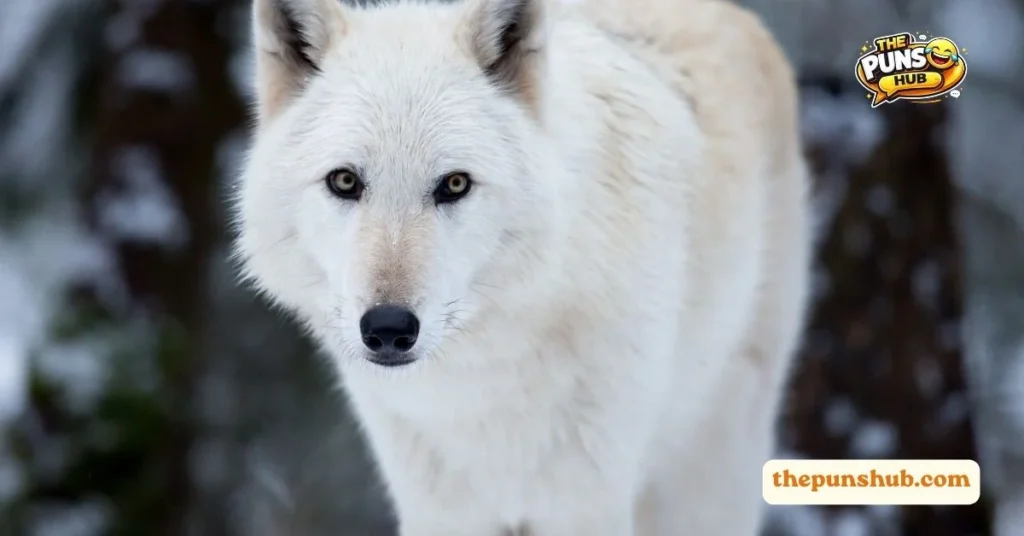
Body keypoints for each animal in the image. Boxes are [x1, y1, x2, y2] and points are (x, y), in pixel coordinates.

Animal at [233, 0, 810, 533]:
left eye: (455, 184)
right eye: (345, 181)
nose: (389, 329)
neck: (478, 384)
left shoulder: (585, 502)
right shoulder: (441, 509)